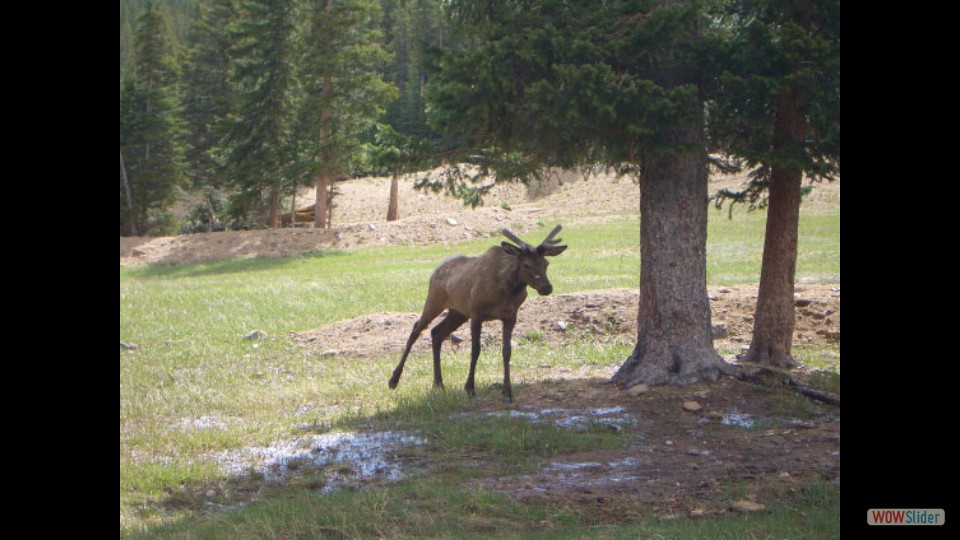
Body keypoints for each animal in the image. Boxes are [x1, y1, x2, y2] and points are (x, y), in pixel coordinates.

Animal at [388, 225, 568, 400]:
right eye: (526, 265)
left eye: (546, 263)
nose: (547, 287)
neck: (507, 290)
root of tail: (435, 271)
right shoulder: (476, 313)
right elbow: (475, 350)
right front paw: (470, 388)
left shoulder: (510, 316)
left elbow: (507, 351)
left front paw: (507, 391)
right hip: (435, 300)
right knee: (416, 329)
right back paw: (394, 380)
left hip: (458, 312)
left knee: (436, 332)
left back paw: (438, 383)